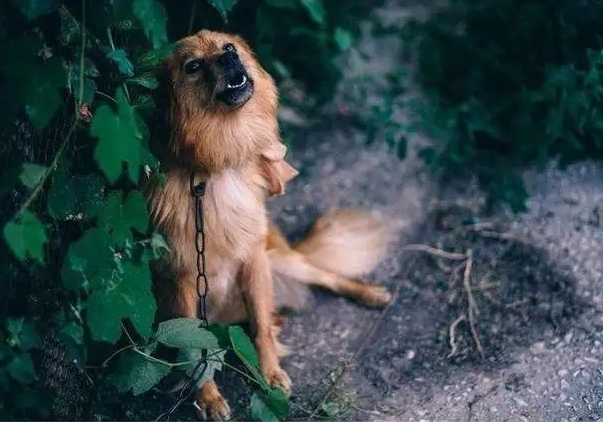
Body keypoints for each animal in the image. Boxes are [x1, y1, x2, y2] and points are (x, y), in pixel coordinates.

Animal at [145, 30, 392, 422]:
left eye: (228, 48)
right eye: (193, 66)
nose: (230, 59)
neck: (213, 168)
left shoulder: (253, 260)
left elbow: (260, 325)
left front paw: (270, 374)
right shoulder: (183, 278)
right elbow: (194, 348)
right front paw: (208, 398)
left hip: (280, 259)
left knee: (326, 276)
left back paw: (369, 294)